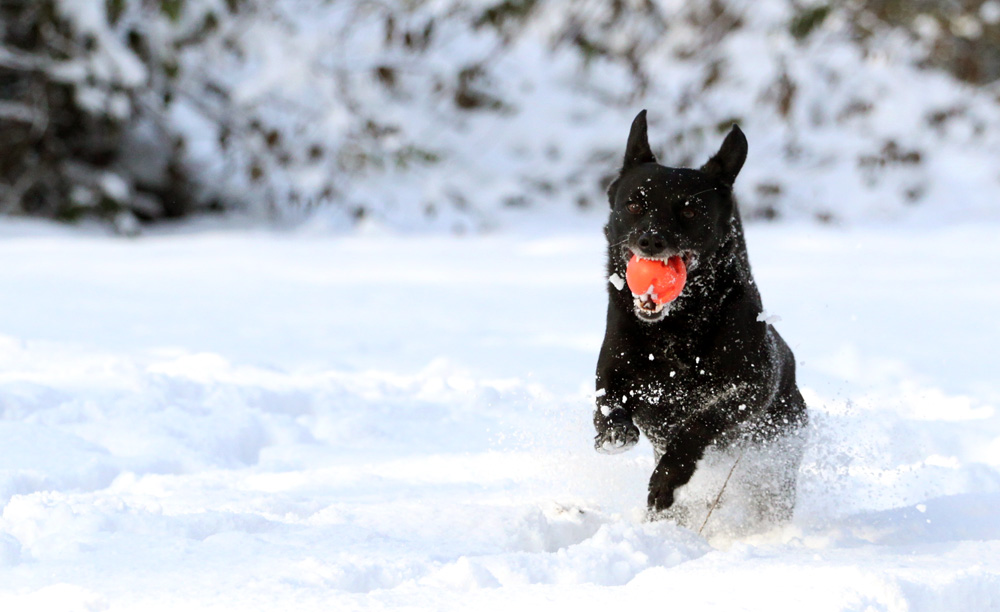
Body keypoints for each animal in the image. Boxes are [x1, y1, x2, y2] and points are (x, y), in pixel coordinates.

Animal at [592, 110, 804, 520]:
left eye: (690, 209)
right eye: (634, 205)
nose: (651, 240)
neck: (676, 326)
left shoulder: (751, 386)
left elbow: (701, 422)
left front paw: (666, 479)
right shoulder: (613, 369)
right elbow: (605, 401)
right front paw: (613, 432)